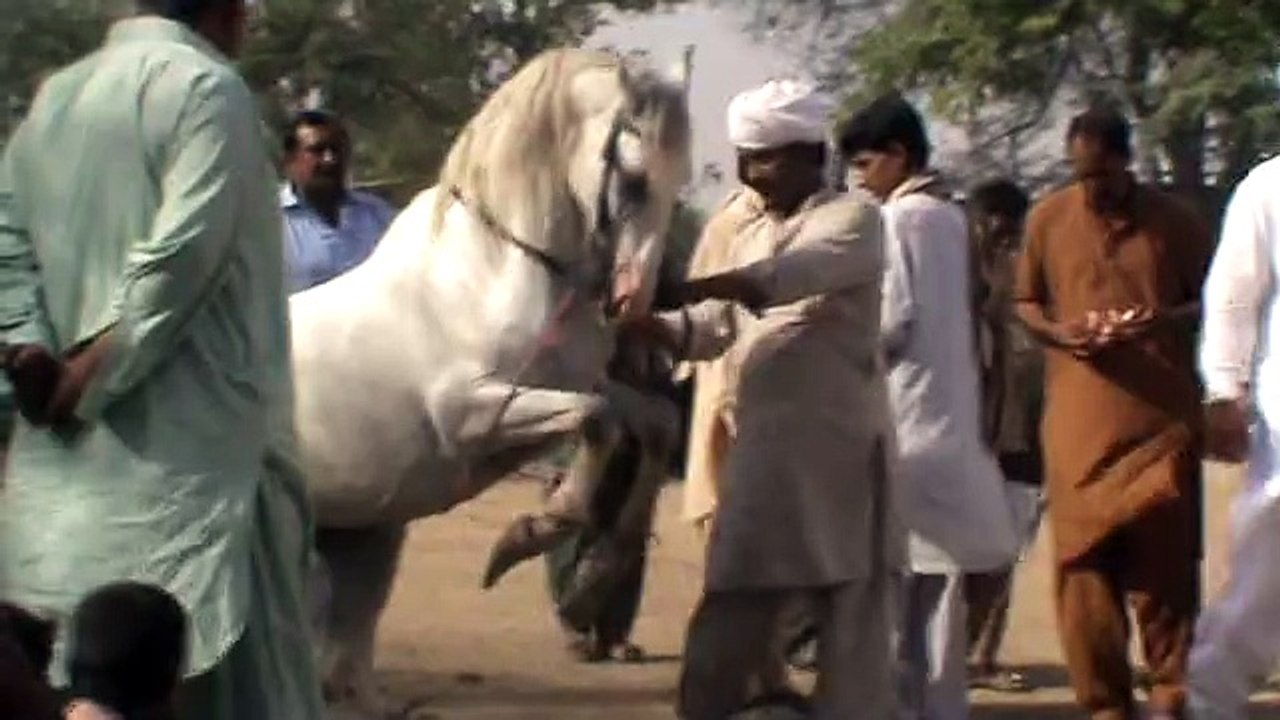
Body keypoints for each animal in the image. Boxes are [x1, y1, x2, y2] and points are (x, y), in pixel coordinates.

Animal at [287, 48, 693, 718]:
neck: (490, 272)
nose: (635, 303)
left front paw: (590, 581)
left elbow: (654, 423)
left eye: (681, 178)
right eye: (633, 179)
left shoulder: (579, 385)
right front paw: (528, 537)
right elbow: (595, 421)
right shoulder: (475, 412)